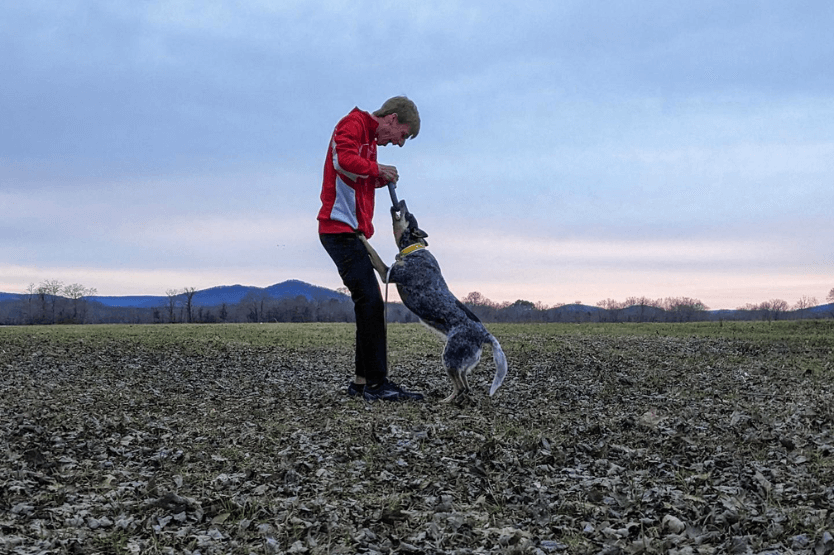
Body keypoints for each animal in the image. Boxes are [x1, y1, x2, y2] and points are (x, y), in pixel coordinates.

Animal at [360, 201, 508, 404]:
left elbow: (373, 251)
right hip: (461, 361)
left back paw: (444, 402)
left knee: (461, 387)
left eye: (408, 214)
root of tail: (486, 335)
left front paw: (359, 234)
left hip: (449, 357)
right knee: (465, 385)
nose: (402, 201)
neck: (413, 249)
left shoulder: (387, 273)